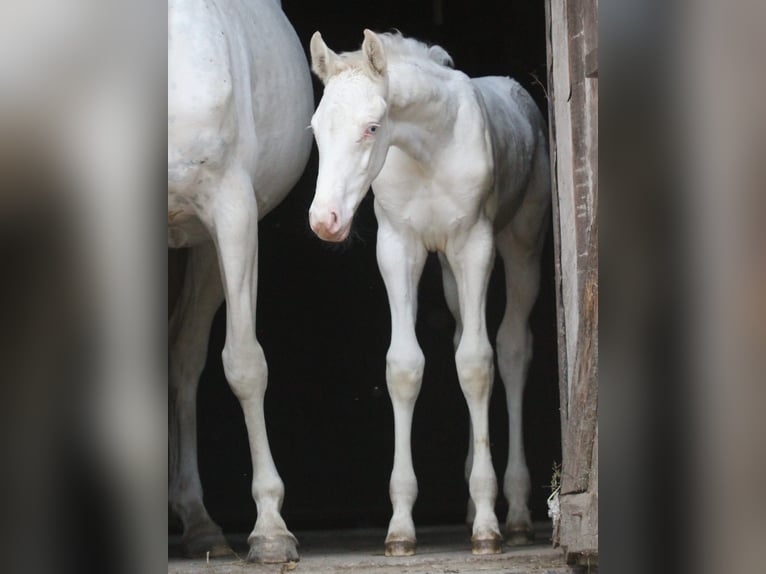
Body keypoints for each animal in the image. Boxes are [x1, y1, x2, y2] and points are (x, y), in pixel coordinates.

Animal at [167, 0, 312, 568]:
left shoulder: (231, 209)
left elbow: (245, 364)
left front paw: (270, 529)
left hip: (205, 248)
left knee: (185, 357)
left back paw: (200, 523)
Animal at [308, 30, 552, 560]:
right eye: (315, 129)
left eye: (372, 128)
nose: (325, 221)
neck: (429, 149)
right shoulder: (398, 247)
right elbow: (405, 366)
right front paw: (400, 528)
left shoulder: (475, 245)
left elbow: (477, 365)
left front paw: (488, 528)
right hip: (448, 271)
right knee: (463, 334)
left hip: (521, 243)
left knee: (512, 349)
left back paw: (517, 517)